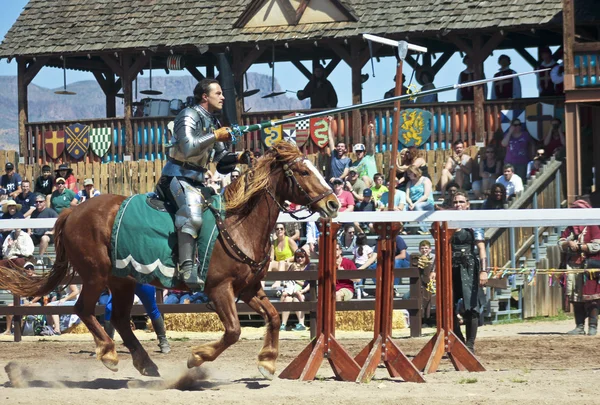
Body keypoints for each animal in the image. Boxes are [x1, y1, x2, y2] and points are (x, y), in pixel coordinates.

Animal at [0, 142, 338, 378]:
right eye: (304, 172)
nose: (333, 203)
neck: (239, 224)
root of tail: (73, 212)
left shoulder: (248, 289)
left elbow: (275, 317)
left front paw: (267, 363)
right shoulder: (220, 290)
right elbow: (233, 331)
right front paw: (197, 356)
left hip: (121, 281)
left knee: (119, 319)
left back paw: (145, 363)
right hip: (96, 276)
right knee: (85, 310)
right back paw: (109, 354)